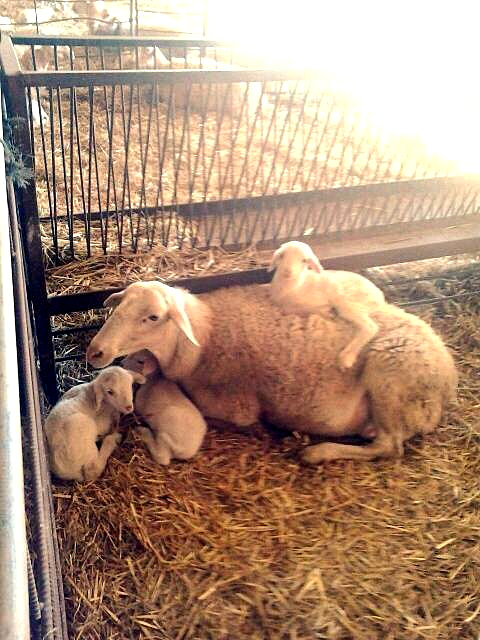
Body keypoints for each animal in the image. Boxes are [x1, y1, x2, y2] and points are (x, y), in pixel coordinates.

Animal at [86, 280, 458, 464]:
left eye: (152, 317)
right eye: (119, 305)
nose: (95, 351)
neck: (205, 338)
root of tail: (449, 379)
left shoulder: (235, 407)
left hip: (390, 373)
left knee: (390, 447)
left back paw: (316, 452)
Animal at [270, 241, 386, 370]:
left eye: (304, 260)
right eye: (281, 255)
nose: (287, 272)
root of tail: (380, 297)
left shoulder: (313, 301)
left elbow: (298, 309)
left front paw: (326, 312)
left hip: (346, 301)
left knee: (370, 327)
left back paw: (346, 357)